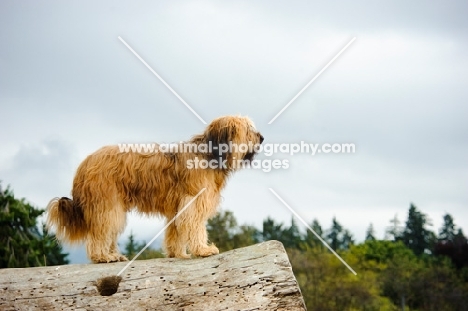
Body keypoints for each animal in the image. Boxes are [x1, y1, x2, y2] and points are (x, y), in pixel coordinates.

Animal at [46, 116, 264, 264]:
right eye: (248, 129)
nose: (261, 137)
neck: (209, 154)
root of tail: (84, 164)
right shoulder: (192, 201)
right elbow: (195, 226)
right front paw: (202, 250)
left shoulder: (178, 207)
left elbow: (175, 232)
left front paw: (178, 253)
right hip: (107, 203)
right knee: (101, 231)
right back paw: (103, 256)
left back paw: (114, 254)